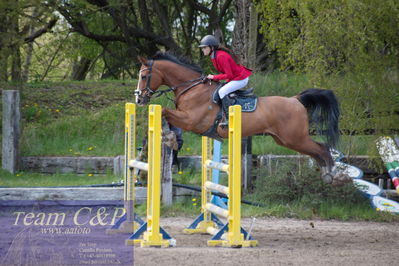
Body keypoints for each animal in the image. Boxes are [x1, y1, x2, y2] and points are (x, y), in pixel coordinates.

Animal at [136, 51, 352, 185]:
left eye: (144, 76)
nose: (138, 98)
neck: (191, 87)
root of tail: (295, 99)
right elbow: (165, 115)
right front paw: (163, 140)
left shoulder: (191, 121)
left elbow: (165, 111)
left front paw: (169, 139)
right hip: (286, 140)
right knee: (316, 152)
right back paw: (327, 175)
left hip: (295, 138)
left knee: (322, 148)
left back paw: (334, 176)